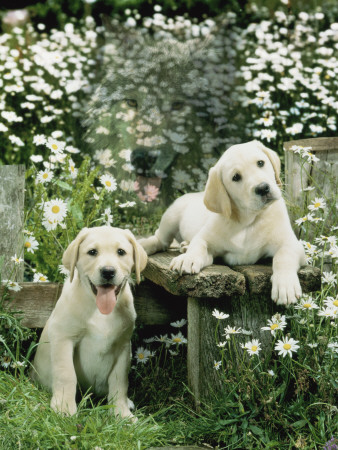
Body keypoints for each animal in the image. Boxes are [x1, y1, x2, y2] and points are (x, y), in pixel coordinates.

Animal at [31, 227, 147, 420]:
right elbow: (66, 374)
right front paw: (64, 408)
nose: (108, 271)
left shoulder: (123, 346)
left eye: (121, 252)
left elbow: (119, 381)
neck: (100, 310)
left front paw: (121, 413)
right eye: (92, 252)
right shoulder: (63, 337)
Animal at [140, 140, 306, 306]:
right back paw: (145, 245)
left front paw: (286, 285)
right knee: (160, 239)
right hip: (171, 215)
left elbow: (283, 257)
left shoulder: (293, 245)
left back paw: (185, 245)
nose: (263, 188)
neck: (247, 221)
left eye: (260, 163)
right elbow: (198, 245)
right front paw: (188, 258)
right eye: (236, 177)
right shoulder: (206, 239)